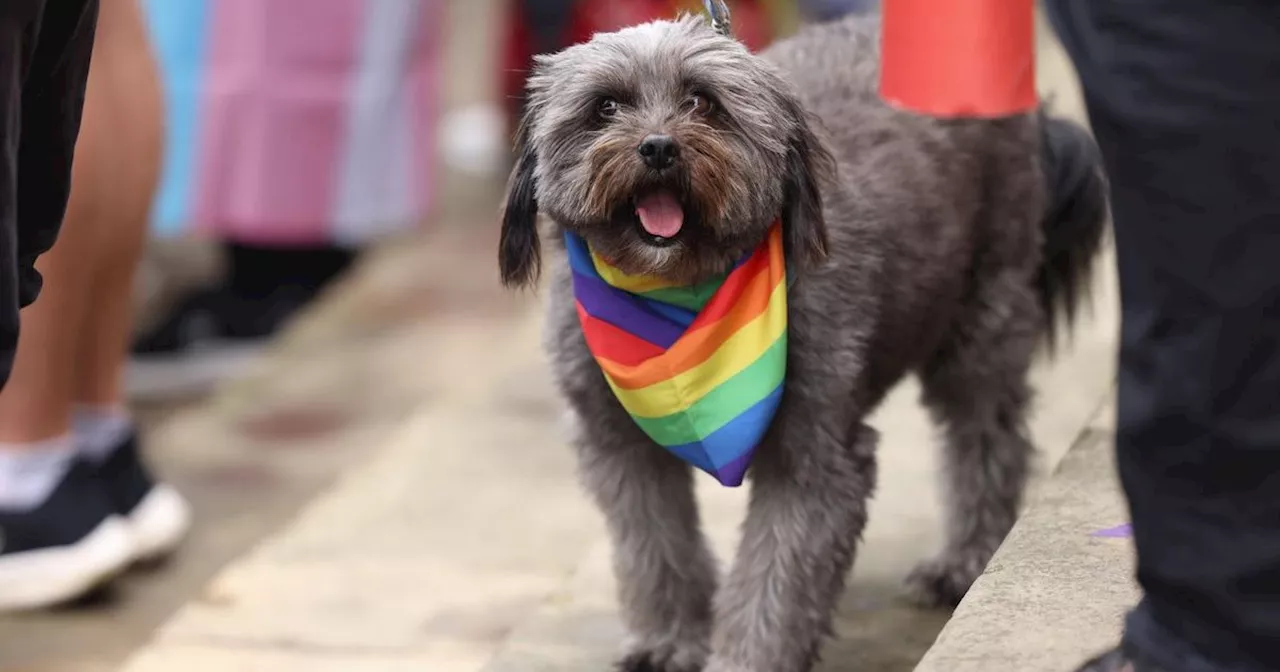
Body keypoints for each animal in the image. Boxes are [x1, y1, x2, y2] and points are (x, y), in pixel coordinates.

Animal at [499, 11, 1111, 670]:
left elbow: (776, 582)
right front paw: (669, 642)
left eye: (702, 101)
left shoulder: (817, 457)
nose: (658, 147)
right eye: (606, 106)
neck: (676, 297)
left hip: (982, 318)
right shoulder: (620, 446)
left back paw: (965, 561)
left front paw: (746, 659)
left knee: (986, 437)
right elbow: (655, 546)